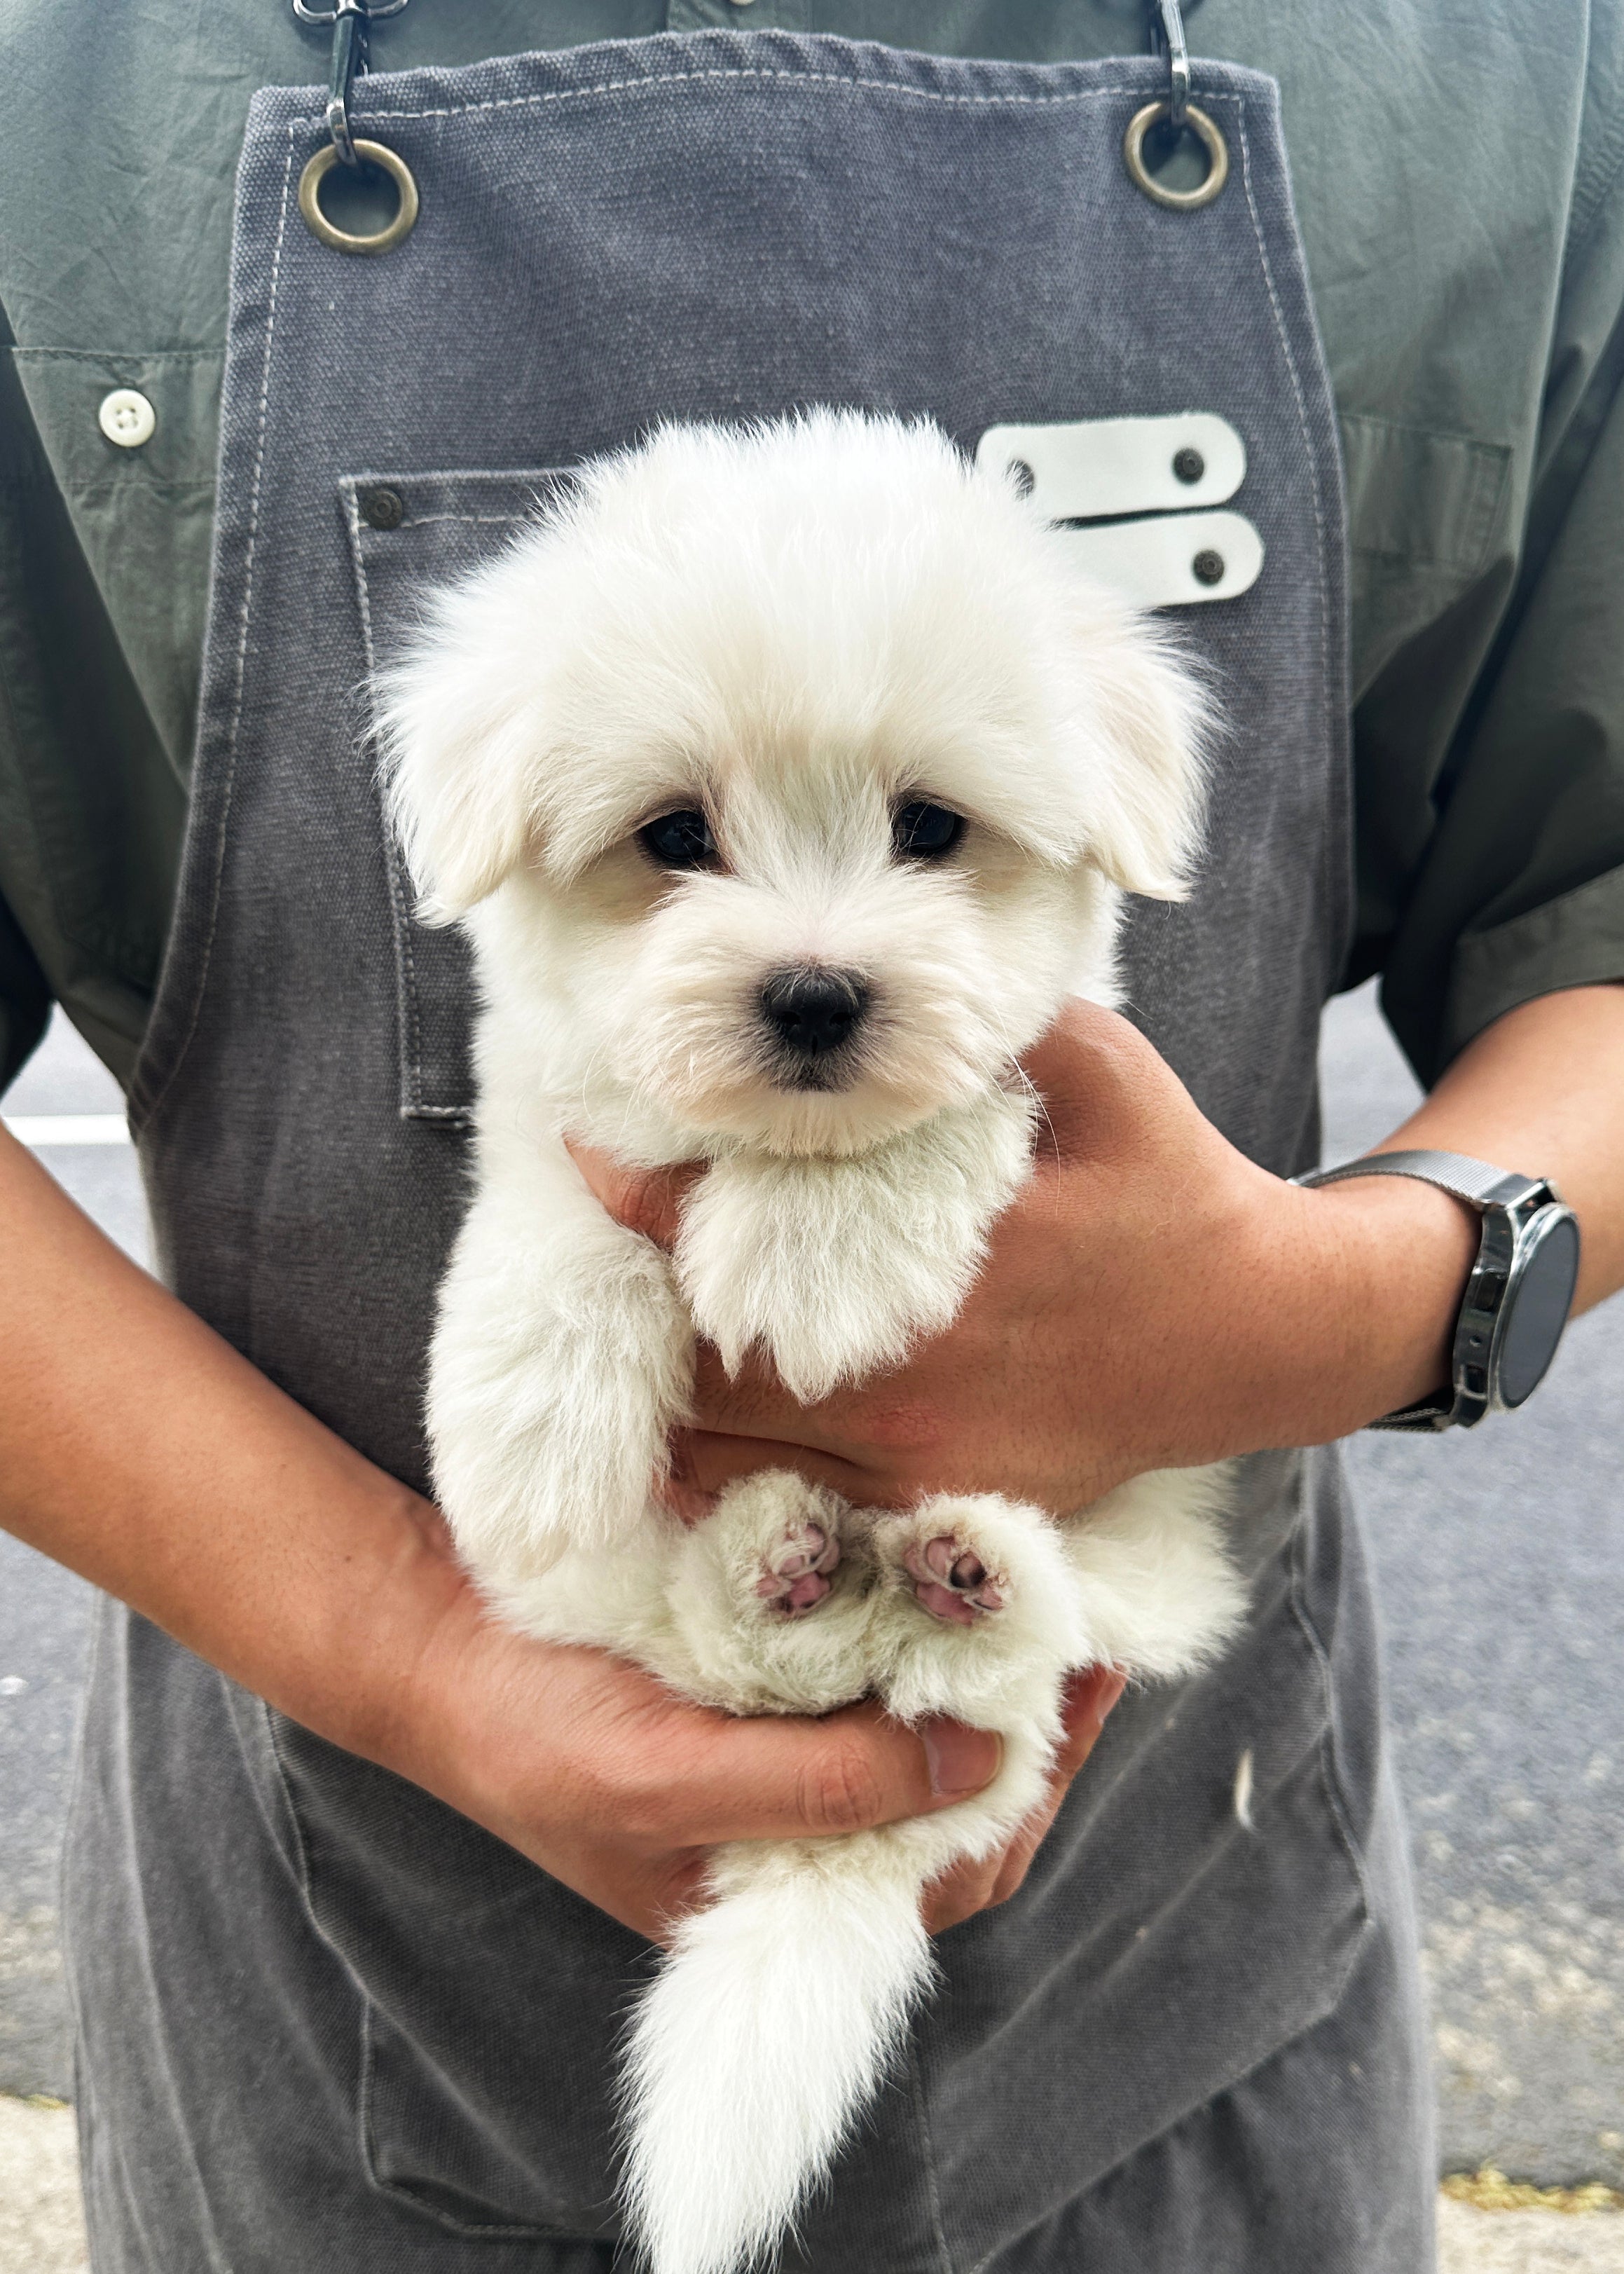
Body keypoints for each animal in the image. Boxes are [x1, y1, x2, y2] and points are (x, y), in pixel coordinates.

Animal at [380, 413, 1237, 2274]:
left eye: (930, 825)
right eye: (672, 832)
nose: (817, 992)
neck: (764, 1137)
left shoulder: (1046, 1069)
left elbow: (945, 1112)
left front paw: (821, 1254)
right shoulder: (552, 1092)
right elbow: (555, 1206)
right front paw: (532, 1426)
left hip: (1128, 1564)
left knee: (1006, 1694)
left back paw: (960, 1570)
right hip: (664, 1619)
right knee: (739, 1661)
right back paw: (787, 1561)